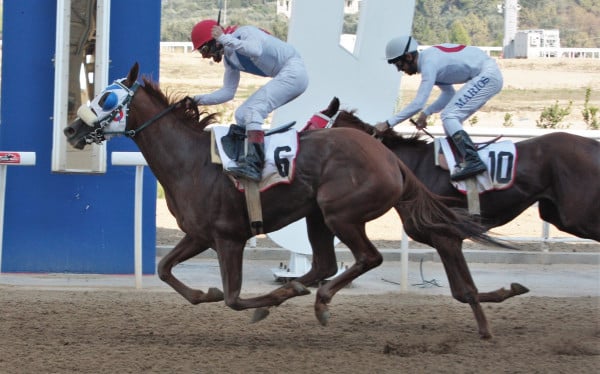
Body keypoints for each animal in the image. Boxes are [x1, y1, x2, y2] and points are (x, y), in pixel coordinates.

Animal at [62, 63, 524, 338]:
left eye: (106, 97)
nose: (70, 129)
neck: (191, 161)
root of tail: (388, 155)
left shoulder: (229, 237)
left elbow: (234, 298)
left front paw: (264, 303)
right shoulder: (199, 235)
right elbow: (163, 270)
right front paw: (204, 294)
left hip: (341, 212)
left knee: (366, 258)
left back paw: (319, 300)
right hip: (318, 216)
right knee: (326, 264)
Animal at [314, 97, 600, 243]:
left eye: (312, 124)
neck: (412, 165)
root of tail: (593, 144)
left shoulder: (446, 229)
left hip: (577, 214)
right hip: (556, 212)